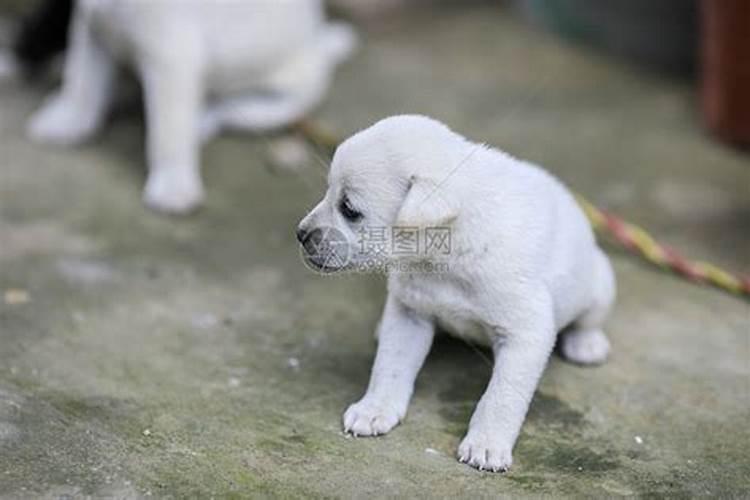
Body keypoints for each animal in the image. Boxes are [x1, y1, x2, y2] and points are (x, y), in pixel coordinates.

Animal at [27, 0, 356, 213]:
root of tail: (318, 47)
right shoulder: (91, 30)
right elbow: (81, 82)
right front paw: (68, 121)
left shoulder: (171, 58)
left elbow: (167, 133)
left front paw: (173, 184)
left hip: (274, 103)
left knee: (224, 108)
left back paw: (200, 122)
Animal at [298, 116, 616, 472]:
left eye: (349, 209)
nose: (300, 234)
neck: (446, 253)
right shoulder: (409, 313)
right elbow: (389, 365)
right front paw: (375, 408)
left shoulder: (525, 333)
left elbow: (502, 395)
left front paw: (487, 444)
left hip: (599, 281)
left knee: (590, 317)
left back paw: (586, 343)